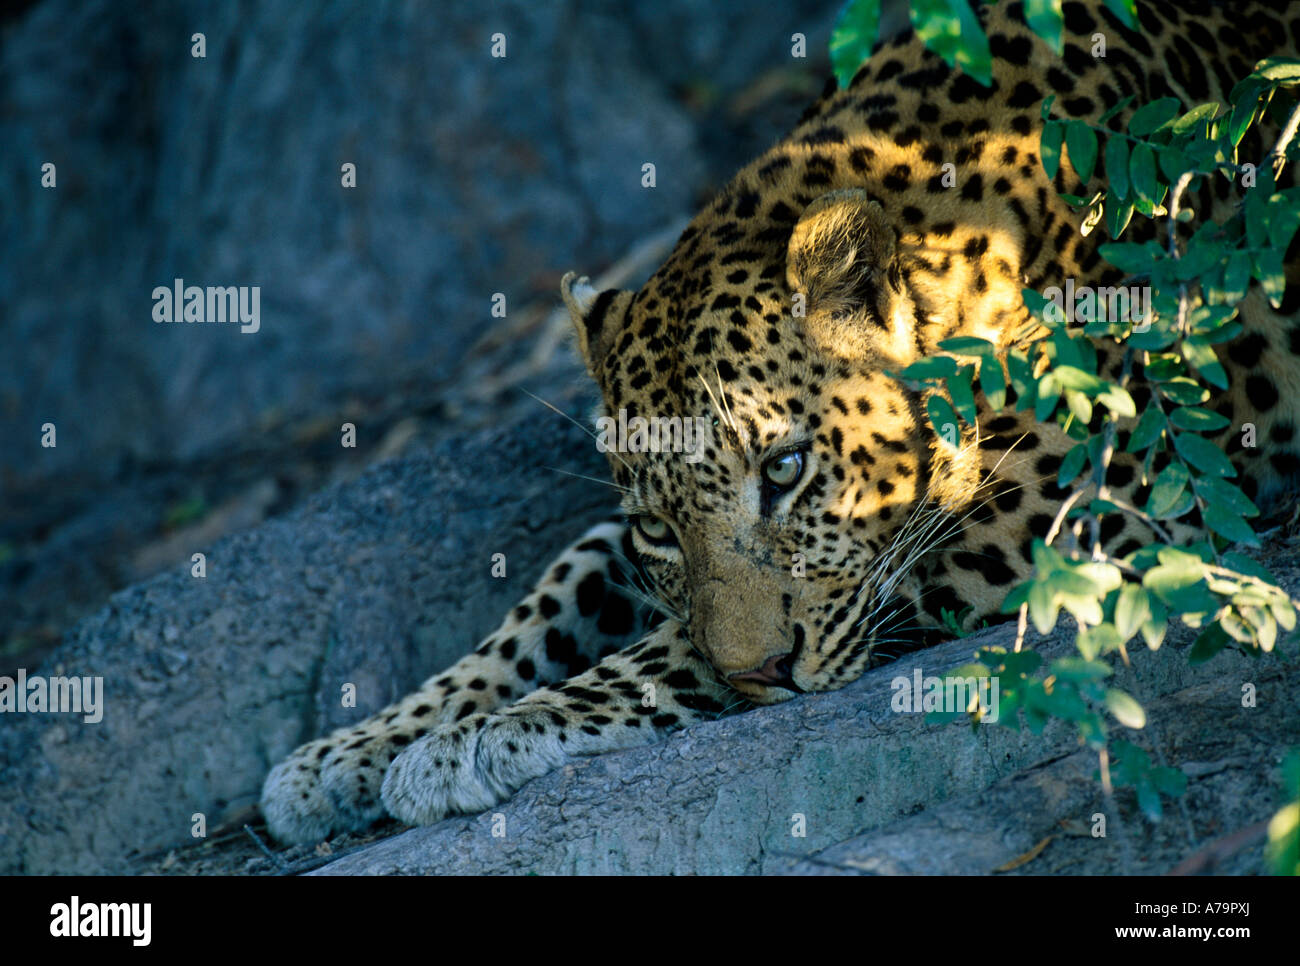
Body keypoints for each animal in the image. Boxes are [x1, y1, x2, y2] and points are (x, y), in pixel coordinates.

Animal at [262, 0, 1300, 844]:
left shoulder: (1068, 492)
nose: (764, 674)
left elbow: (672, 646)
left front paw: (475, 741)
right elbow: (543, 606)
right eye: (657, 528)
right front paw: (350, 751)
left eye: (789, 470)